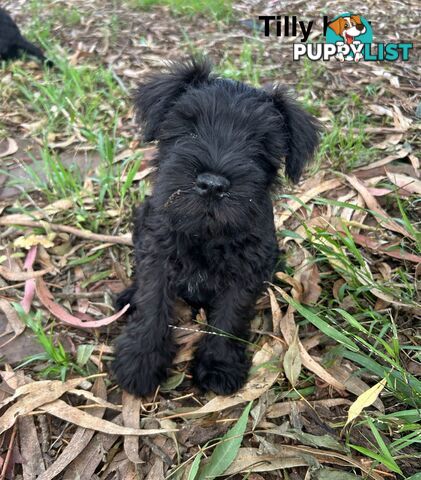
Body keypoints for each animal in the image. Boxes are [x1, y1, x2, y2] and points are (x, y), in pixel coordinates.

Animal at [111, 56, 318, 396]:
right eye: (189, 127)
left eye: (260, 142)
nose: (212, 185)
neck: (206, 234)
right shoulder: (157, 259)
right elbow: (152, 305)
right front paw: (140, 361)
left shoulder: (246, 272)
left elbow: (229, 317)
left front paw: (219, 365)